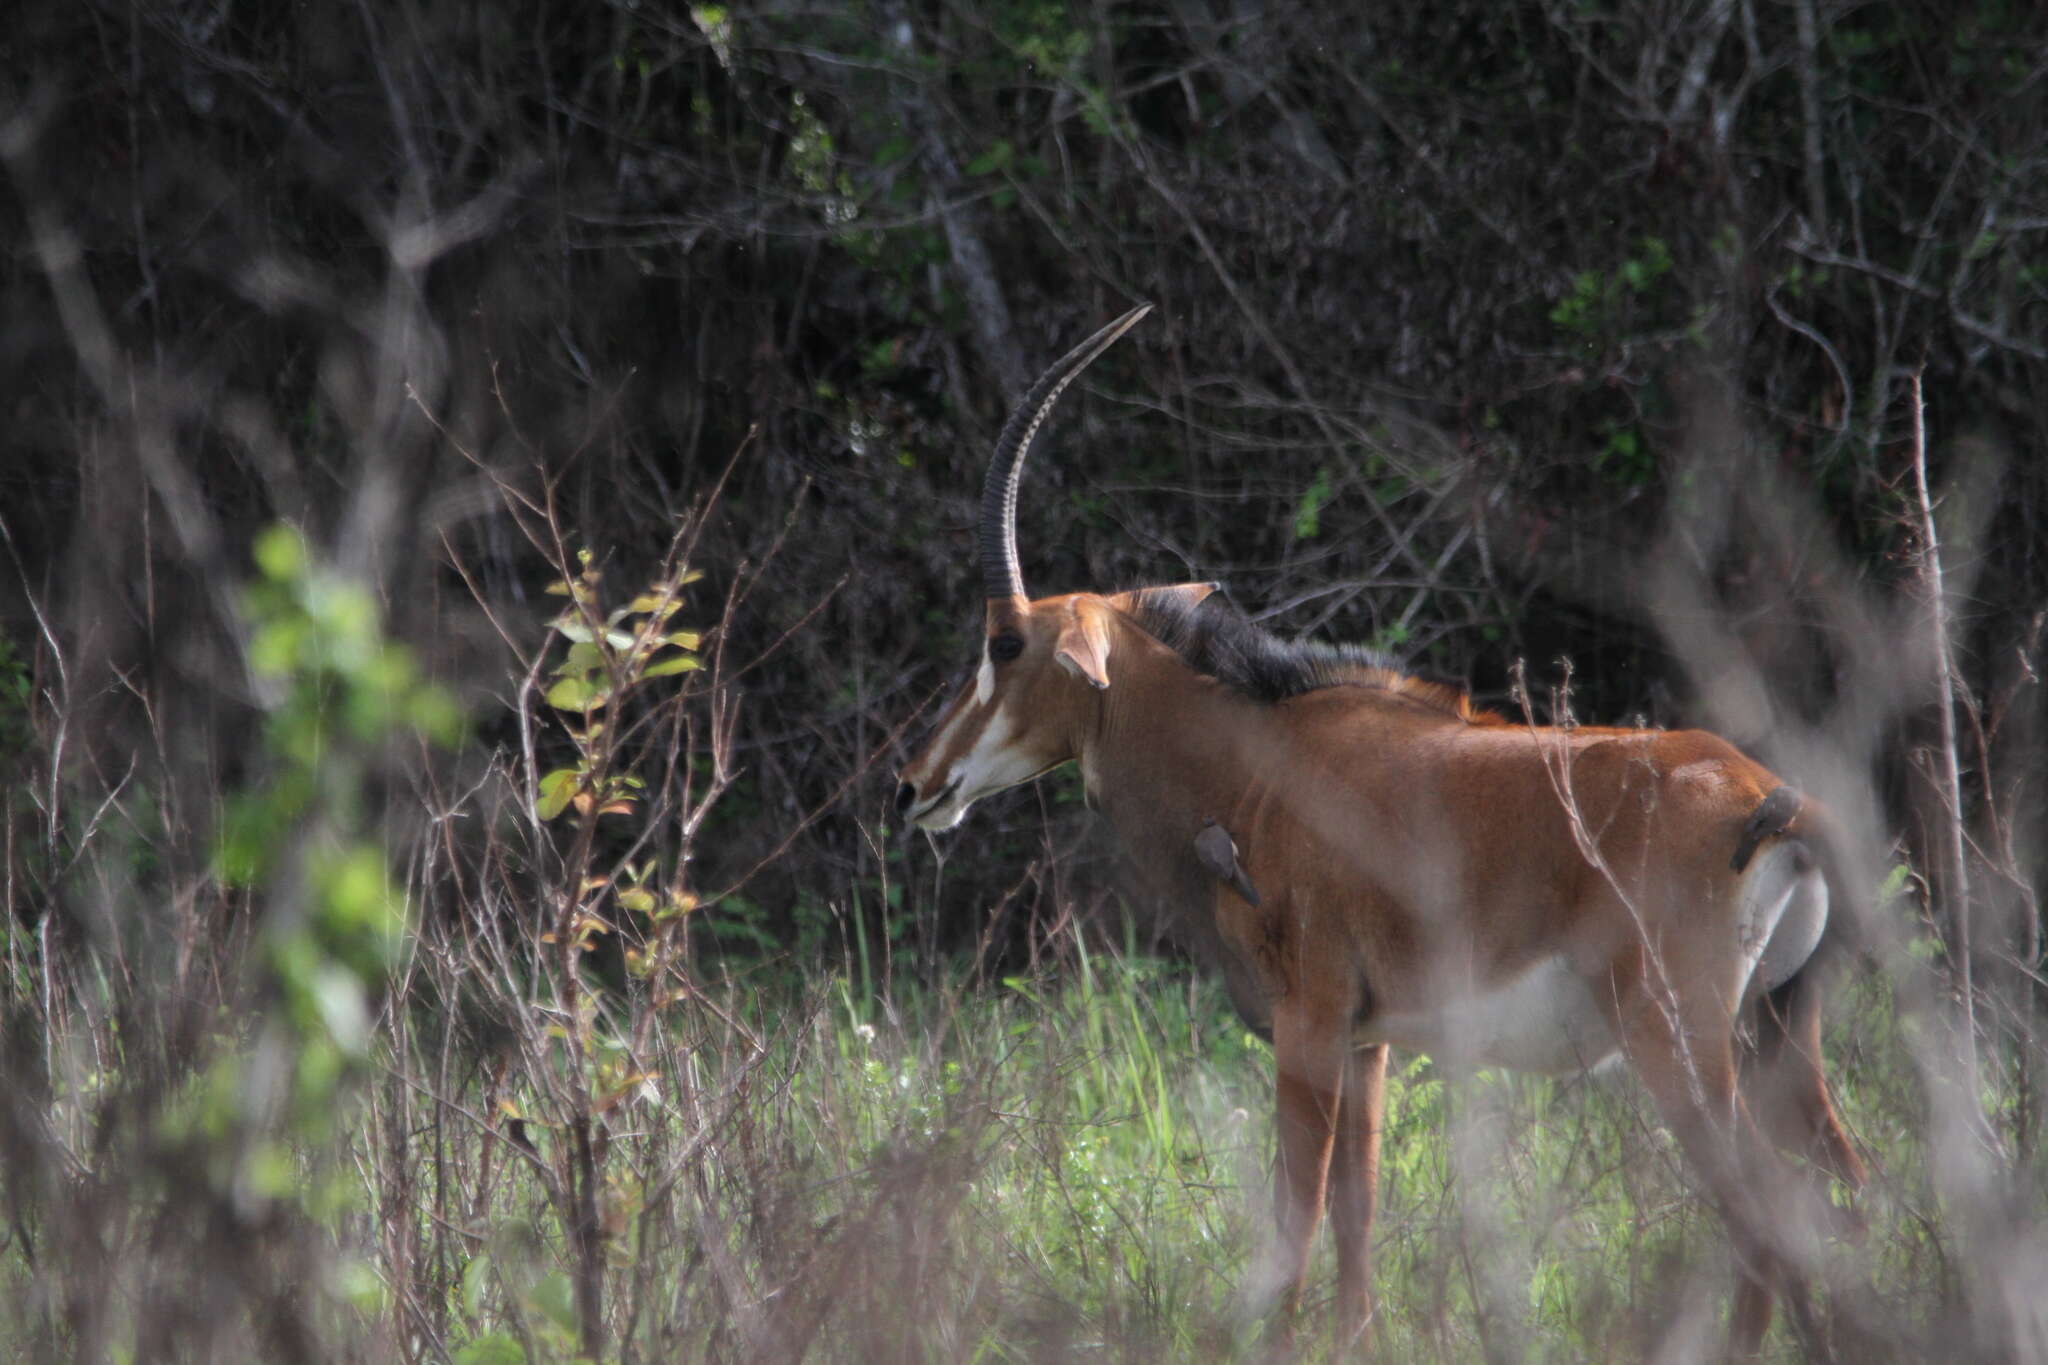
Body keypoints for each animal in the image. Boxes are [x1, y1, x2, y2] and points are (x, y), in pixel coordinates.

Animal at [888, 306, 1867, 1358]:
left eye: (1003, 643)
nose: (913, 785)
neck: (1262, 762)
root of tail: (1772, 799)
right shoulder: (1369, 1040)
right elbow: (1358, 1214)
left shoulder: (1309, 1020)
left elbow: (1300, 1211)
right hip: (1775, 1030)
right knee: (1840, 1184)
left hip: (1681, 1040)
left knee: (1764, 1210)